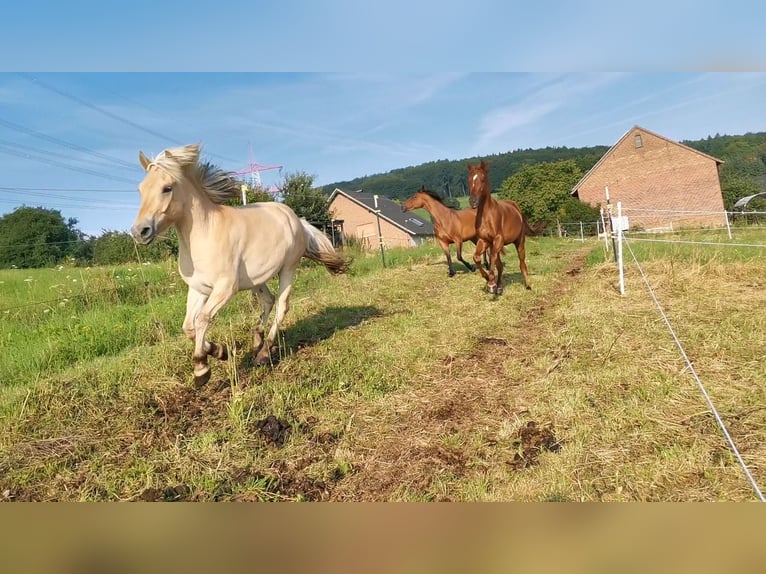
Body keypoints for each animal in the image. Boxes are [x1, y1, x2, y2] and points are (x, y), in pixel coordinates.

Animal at [132, 144, 348, 390]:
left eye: (167, 188)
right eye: (141, 189)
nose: (139, 232)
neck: (204, 235)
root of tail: (297, 220)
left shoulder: (225, 288)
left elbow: (202, 319)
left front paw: (202, 369)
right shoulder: (198, 289)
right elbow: (188, 326)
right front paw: (219, 351)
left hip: (288, 269)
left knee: (282, 306)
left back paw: (263, 353)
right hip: (257, 279)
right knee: (268, 300)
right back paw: (256, 339)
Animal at [464, 162, 536, 296]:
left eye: (483, 179)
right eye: (469, 179)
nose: (473, 201)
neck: (486, 215)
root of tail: (516, 207)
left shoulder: (498, 239)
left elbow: (492, 258)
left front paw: (491, 283)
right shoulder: (484, 241)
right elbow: (476, 257)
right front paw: (488, 279)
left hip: (519, 241)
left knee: (522, 263)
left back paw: (528, 285)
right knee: (500, 265)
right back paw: (499, 287)